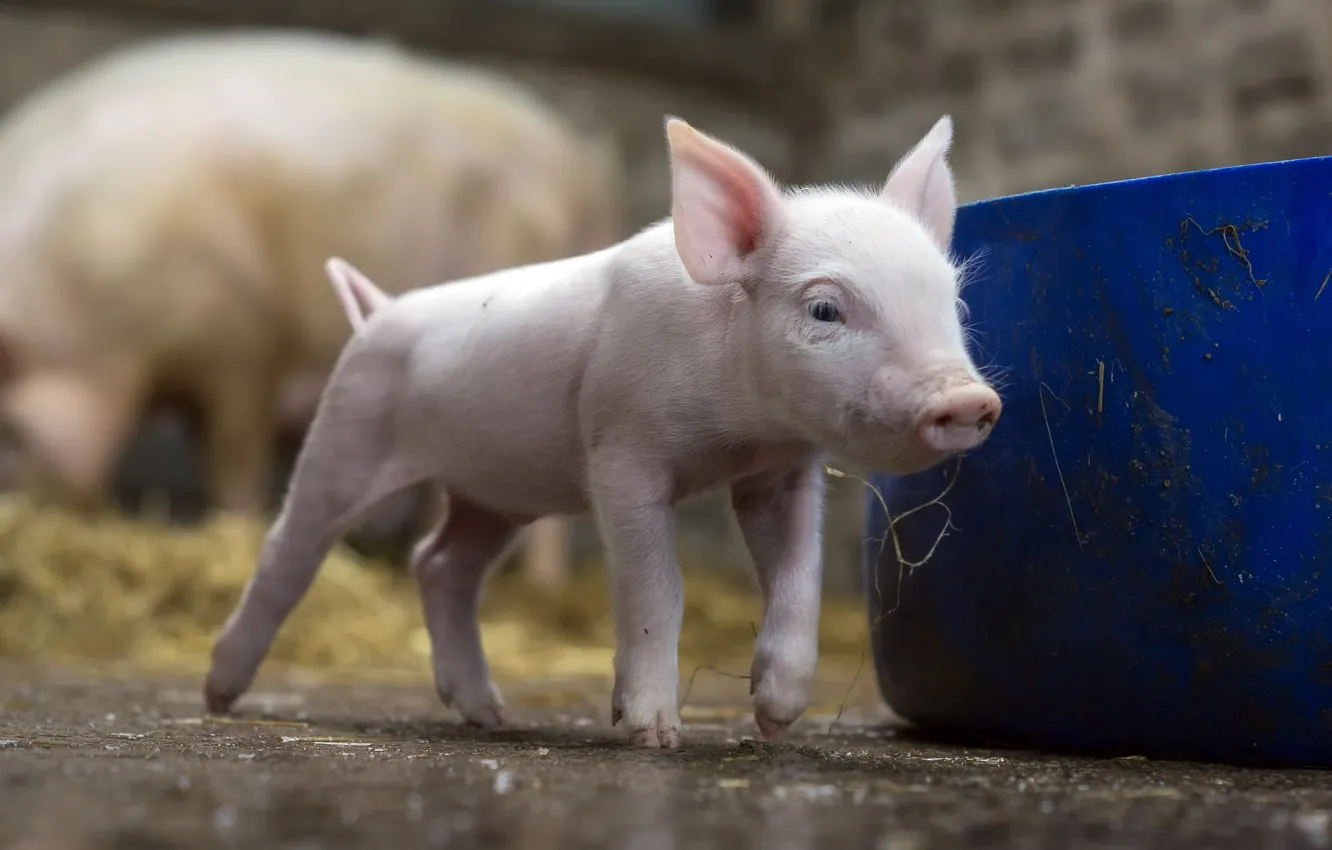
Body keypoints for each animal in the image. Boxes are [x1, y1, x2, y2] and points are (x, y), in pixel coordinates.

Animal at [0, 30, 617, 575]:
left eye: (9, 431)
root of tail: (582, 172)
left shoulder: (242, 342)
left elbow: (235, 457)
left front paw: (238, 532)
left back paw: (536, 586)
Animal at [204, 114, 1002, 748]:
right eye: (825, 310)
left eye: (955, 304)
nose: (967, 400)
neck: (739, 429)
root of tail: (376, 311)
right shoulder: (622, 453)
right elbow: (658, 588)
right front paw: (654, 736)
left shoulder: (780, 471)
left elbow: (798, 577)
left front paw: (775, 720)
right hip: (347, 431)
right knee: (288, 551)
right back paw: (220, 695)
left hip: (492, 492)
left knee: (439, 563)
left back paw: (491, 716)